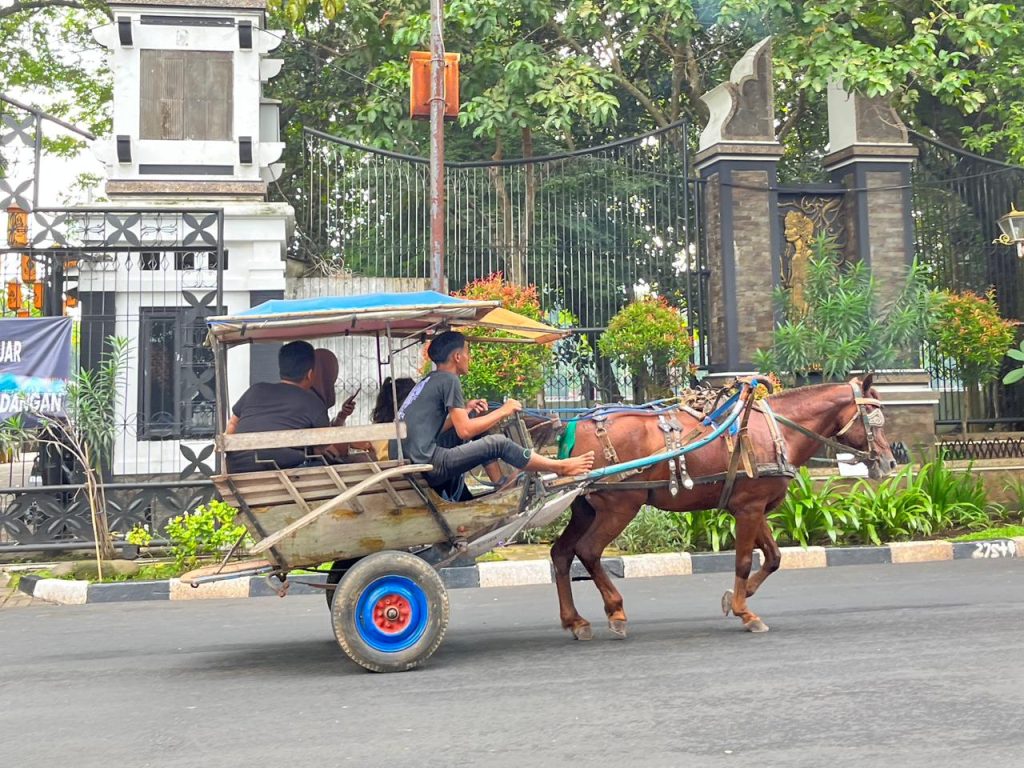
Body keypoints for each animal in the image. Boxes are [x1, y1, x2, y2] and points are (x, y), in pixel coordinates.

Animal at [553, 374, 896, 639]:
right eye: (874, 418)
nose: (889, 462)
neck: (777, 432)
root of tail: (578, 426)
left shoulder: (754, 506)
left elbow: (774, 557)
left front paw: (734, 598)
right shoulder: (748, 508)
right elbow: (744, 561)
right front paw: (746, 612)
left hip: (585, 508)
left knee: (562, 553)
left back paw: (575, 620)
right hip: (620, 507)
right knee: (588, 551)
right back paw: (616, 611)